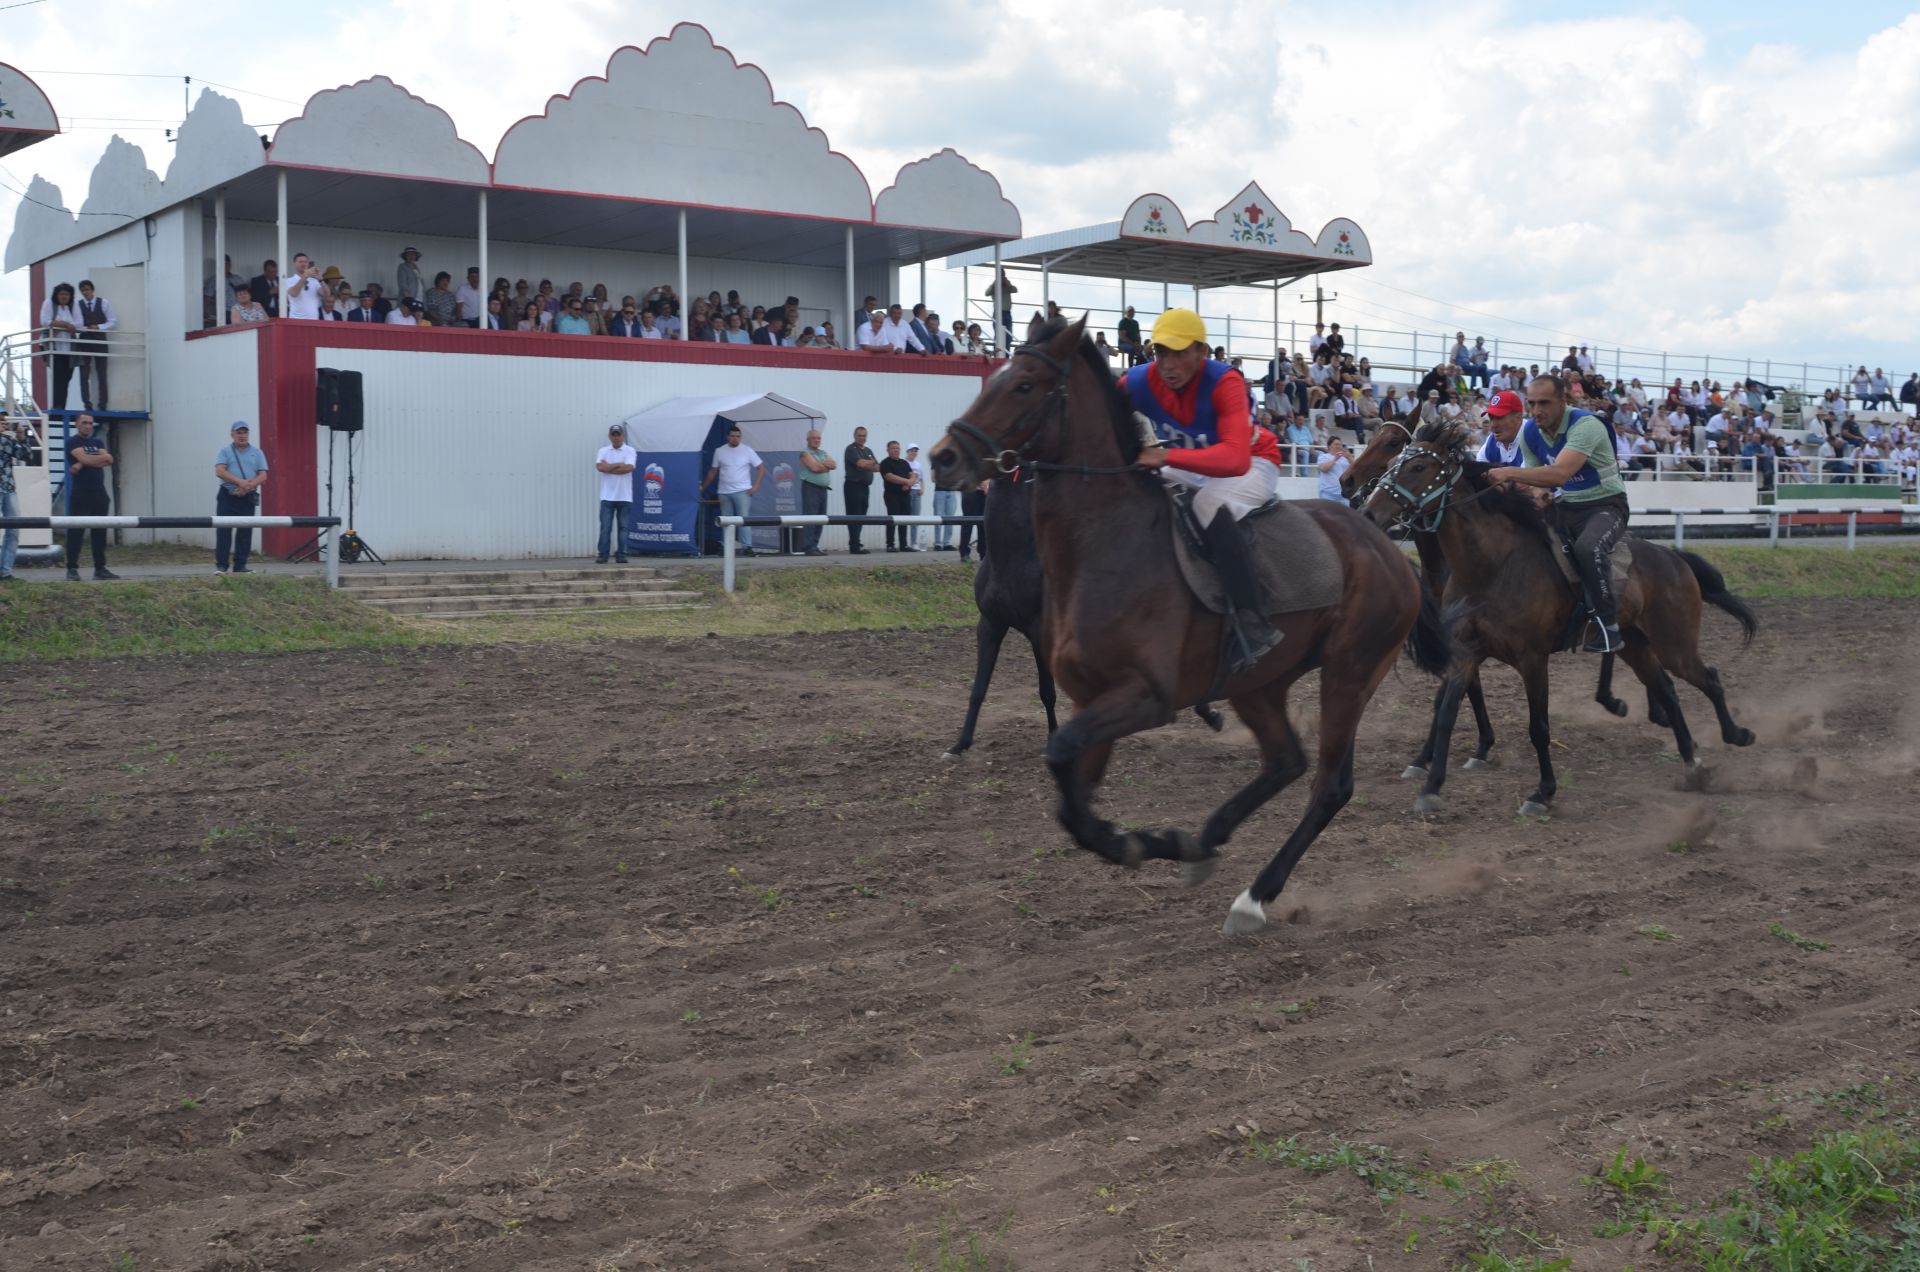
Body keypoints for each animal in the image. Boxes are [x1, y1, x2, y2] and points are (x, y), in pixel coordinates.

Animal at [944, 472, 1228, 760]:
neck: (1014, 559)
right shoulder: (990, 624)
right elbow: (978, 689)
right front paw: (959, 745)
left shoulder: (1038, 632)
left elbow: (1047, 692)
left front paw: (1053, 737)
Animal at [1351, 416, 1758, 818]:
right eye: (1393, 461)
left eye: (1417, 466)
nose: (1364, 507)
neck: (1491, 567)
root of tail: (1673, 557)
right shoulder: (1464, 650)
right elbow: (1447, 712)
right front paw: (1432, 784)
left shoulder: (1532, 658)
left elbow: (1539, 727)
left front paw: (1542, 792)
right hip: (1636, 645)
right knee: (1668, 690)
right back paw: (1692, 764)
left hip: (1675, 643)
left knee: (1708, 678)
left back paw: (1736, 734)